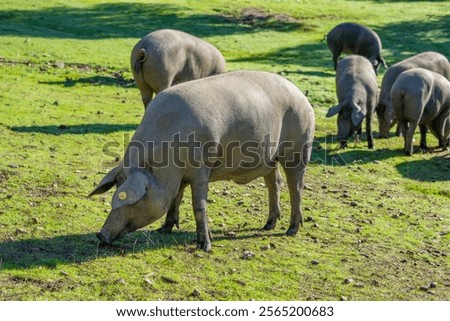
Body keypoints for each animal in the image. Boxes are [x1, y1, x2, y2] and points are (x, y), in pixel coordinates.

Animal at [89, 69, 314, 250]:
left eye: (128, 198)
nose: (100, 235)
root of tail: (301, 96)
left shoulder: (201, 170)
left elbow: (199, 205)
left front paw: (204, 245)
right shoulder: (179, 177)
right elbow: (175, 199)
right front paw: (163, 230)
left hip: (299, 149)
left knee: (295, 187)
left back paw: (291, 230)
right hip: (270, 159)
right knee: (274, 183)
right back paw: (268, 225)